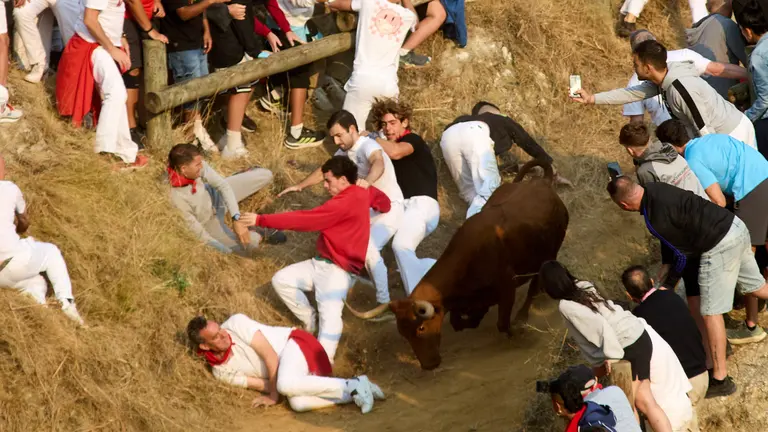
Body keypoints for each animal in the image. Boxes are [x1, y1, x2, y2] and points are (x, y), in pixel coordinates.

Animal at [345, 160, 569, 370]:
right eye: (403, 332)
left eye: (421, 328)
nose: (428, 365)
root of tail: (542, 183)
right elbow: (458, 321)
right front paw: (474, 318)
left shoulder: (507, 289)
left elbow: (502, 323)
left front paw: (518, 332)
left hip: (549, 254)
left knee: (534, 287)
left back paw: (522, 316)